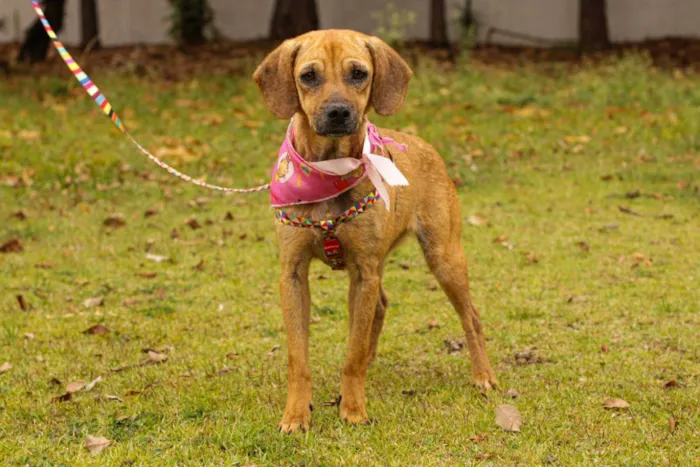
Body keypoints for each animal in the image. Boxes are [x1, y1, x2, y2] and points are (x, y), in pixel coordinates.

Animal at [254, 30, 494, 436]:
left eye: (358, 73)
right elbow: (298, 358)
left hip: (443, 257)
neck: (330, 171)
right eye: (308, 76)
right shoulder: (293, 273)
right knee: (380, 307)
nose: (338, 112)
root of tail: (425, 145)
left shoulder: (363, 271)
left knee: (472, 317)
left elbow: (351, 354)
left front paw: (352, 409)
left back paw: (483, 375)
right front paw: (296, 415)